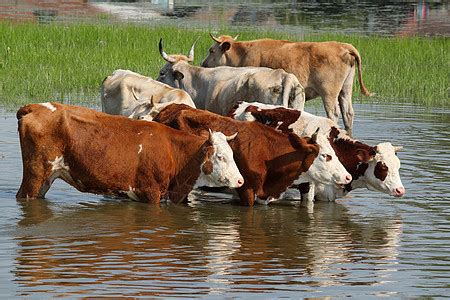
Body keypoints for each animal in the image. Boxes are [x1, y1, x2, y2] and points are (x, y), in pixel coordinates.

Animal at [15, 102, 244, 204]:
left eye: (233, 155)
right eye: (221, 156)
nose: (240, 181)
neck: (173, 149)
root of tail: (35, 107)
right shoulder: (151, 192)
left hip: (46, 179)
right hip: (35, 176)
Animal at [201, 34, 372, 137]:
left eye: (211, 50)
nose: (203, 64)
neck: (242, 53)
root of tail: (344, 46)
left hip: (329, 93)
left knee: (334, 114)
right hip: (345, 90)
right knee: (348, 113)